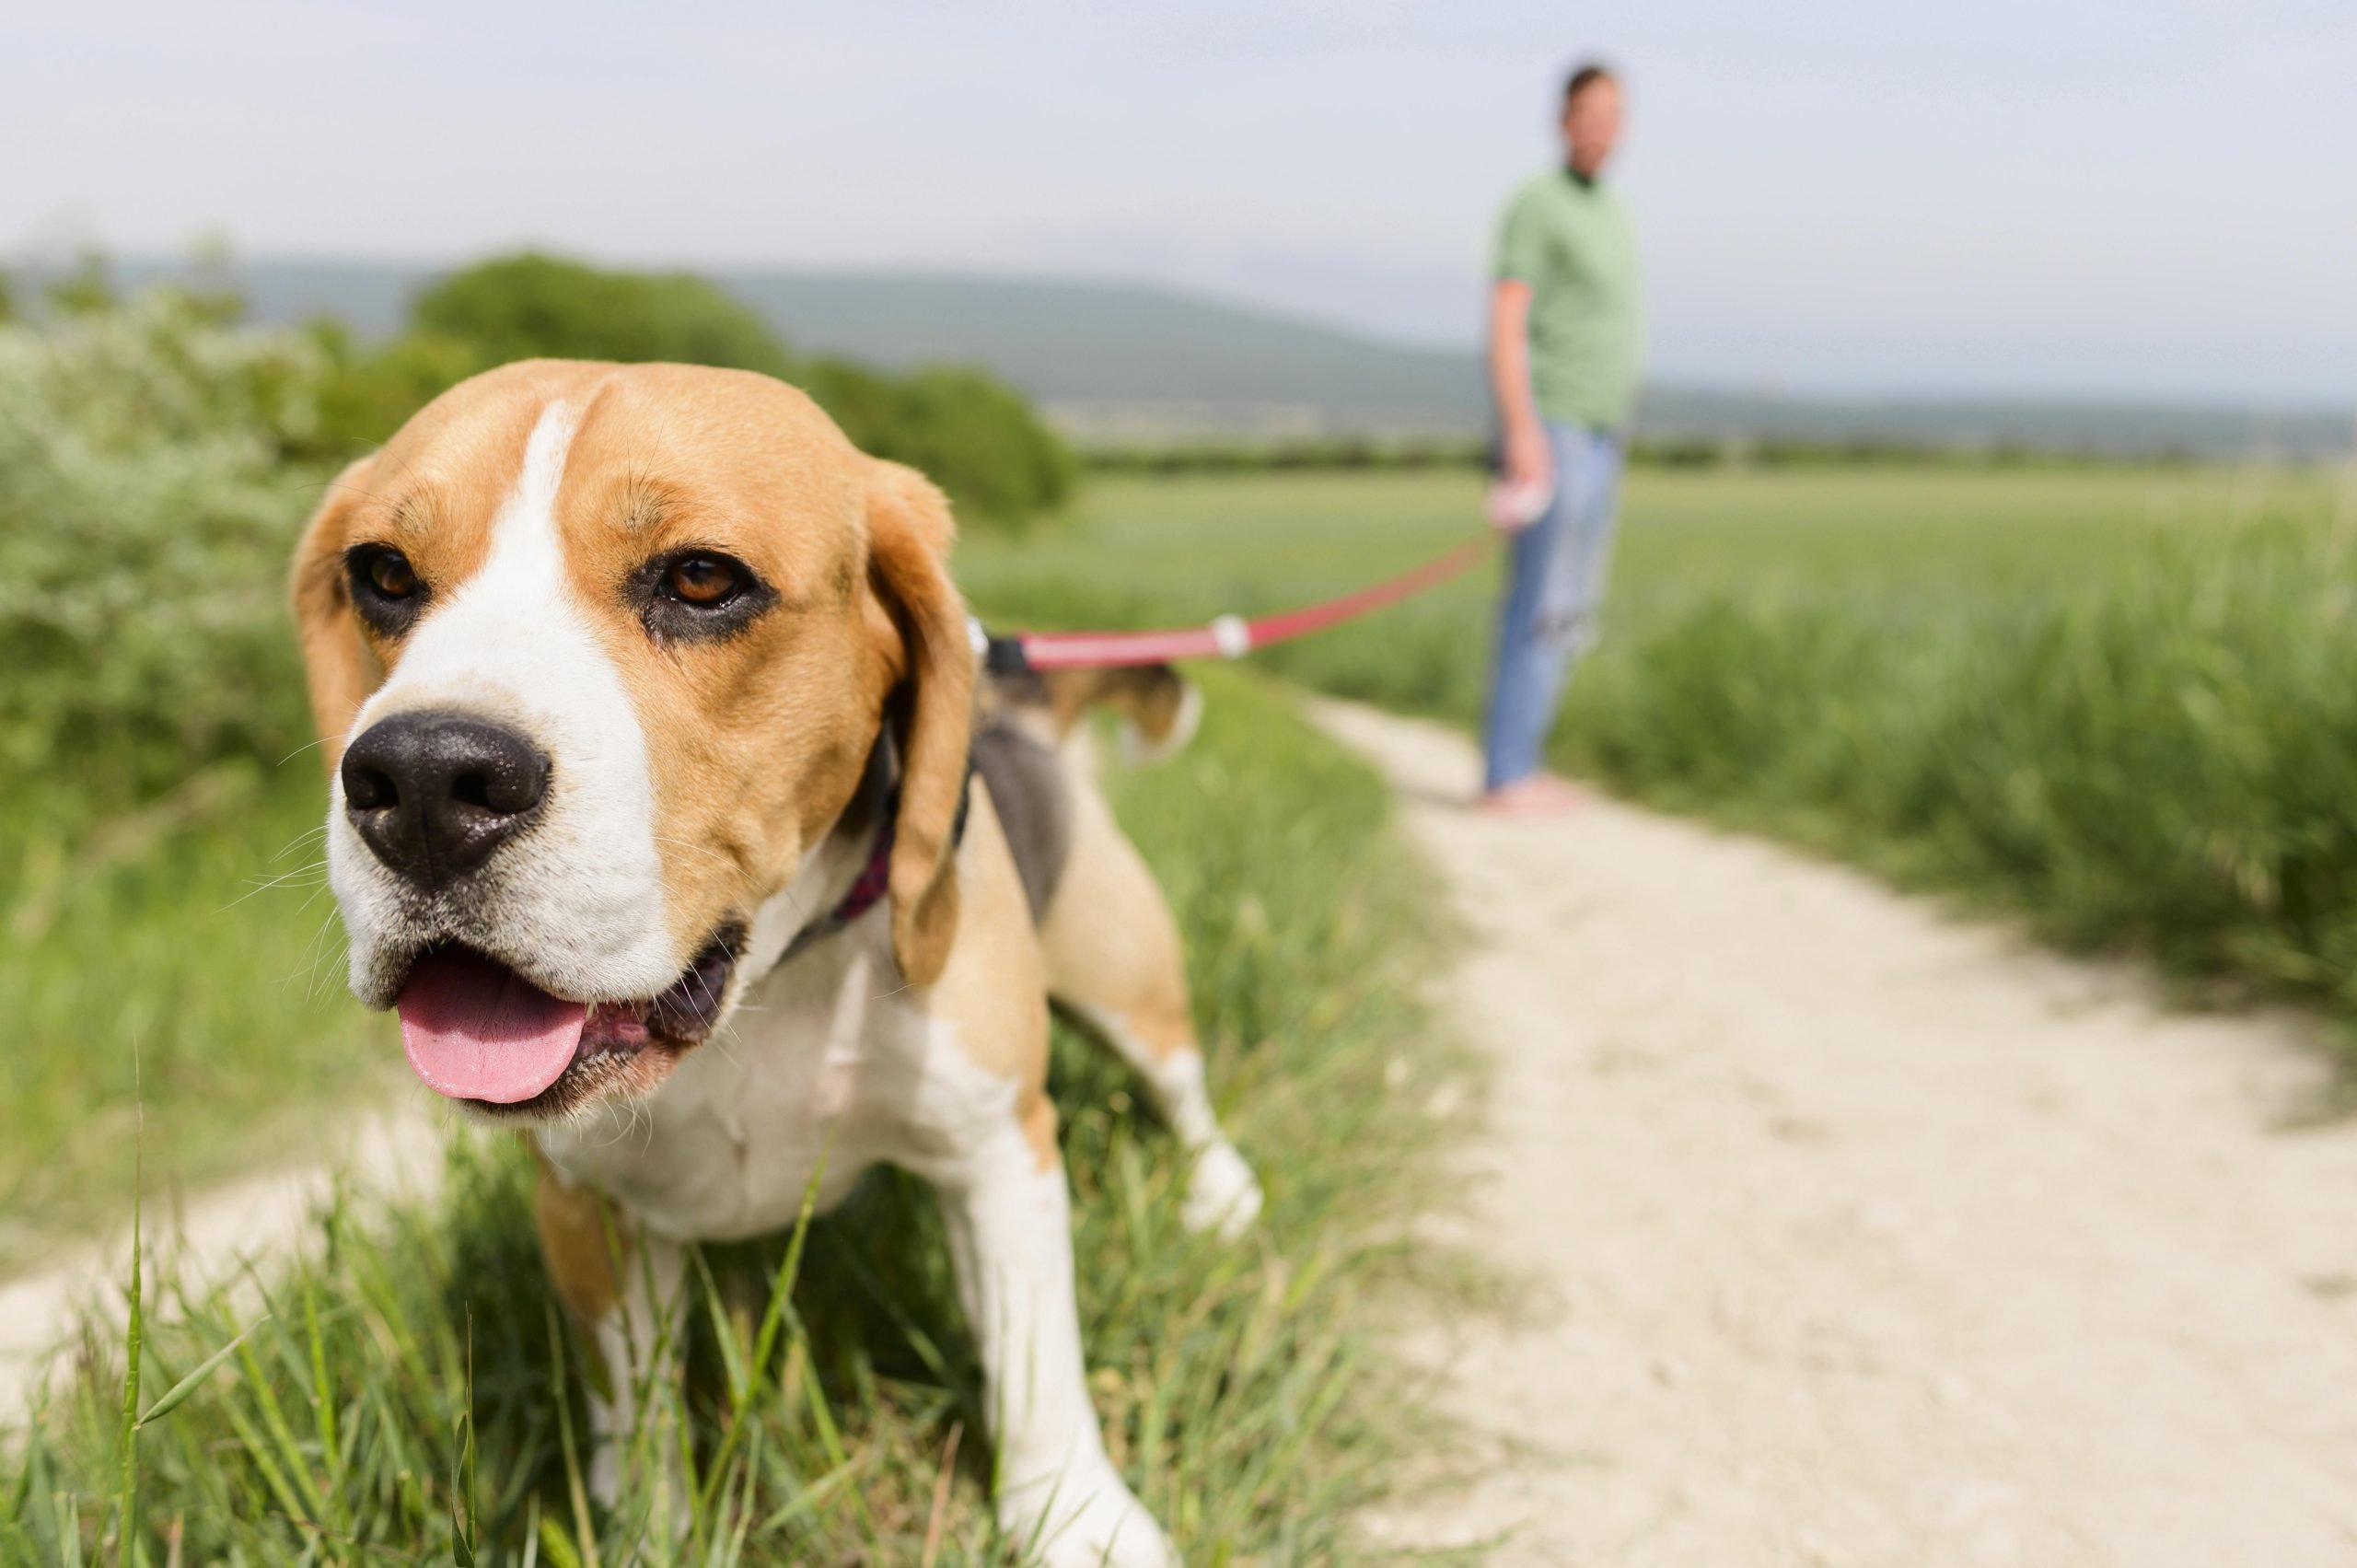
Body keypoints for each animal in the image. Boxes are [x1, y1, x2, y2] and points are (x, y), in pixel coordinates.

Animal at [296, 358, 1272, 1565]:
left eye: (702, 578)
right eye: (384, 574)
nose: (424, 781)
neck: (759, 990)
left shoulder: (999, 1145)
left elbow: (1037, 1363)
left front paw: (1080, 1517)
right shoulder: (584, 1206)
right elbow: (637, 1407)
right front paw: (644, 1521)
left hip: (1125, 977)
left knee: (1182, 1088)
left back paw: (1220, 1189)